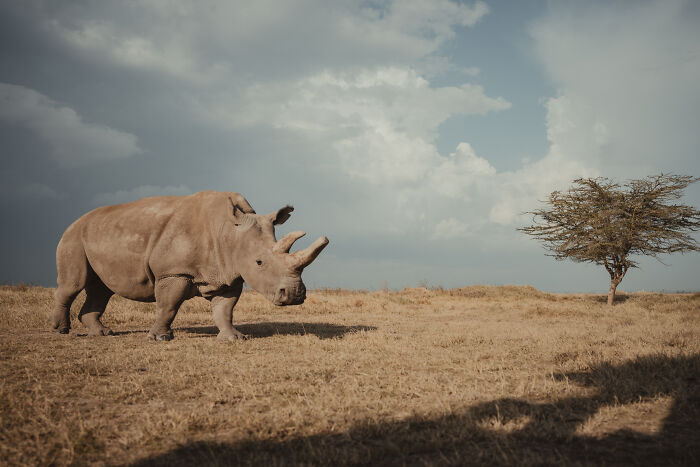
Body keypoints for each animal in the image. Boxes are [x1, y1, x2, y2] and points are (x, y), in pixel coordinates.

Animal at [51, 191, 329, 341]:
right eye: (259, 262)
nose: (294, 296)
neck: (229, 233)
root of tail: (76, 221)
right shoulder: (174, 272)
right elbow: (168, 306)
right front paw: (160, 338)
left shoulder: (228, 274)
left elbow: (225, 309)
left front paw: (233, 338)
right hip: (73, 237)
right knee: (73, 284)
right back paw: (60, 330)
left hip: (99, 235)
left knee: (102, 288)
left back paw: (102, 333)